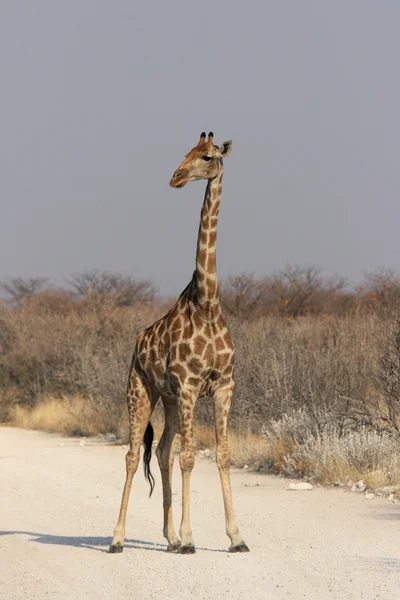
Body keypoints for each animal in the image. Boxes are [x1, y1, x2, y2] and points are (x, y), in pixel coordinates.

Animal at [108, 130, 248, 552]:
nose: (176, 177)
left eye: (207, 156)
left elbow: (221, 454)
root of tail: (137, 343)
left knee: (162, 451)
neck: (208, 304)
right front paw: (189, 538)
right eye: (185, 153)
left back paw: (167, 537)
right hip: (140, 390)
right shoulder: (189, 386)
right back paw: (118, 538)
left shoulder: (223, 386)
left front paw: (236, 537)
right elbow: (189, 457)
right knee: (133, 454)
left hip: (168, 399)